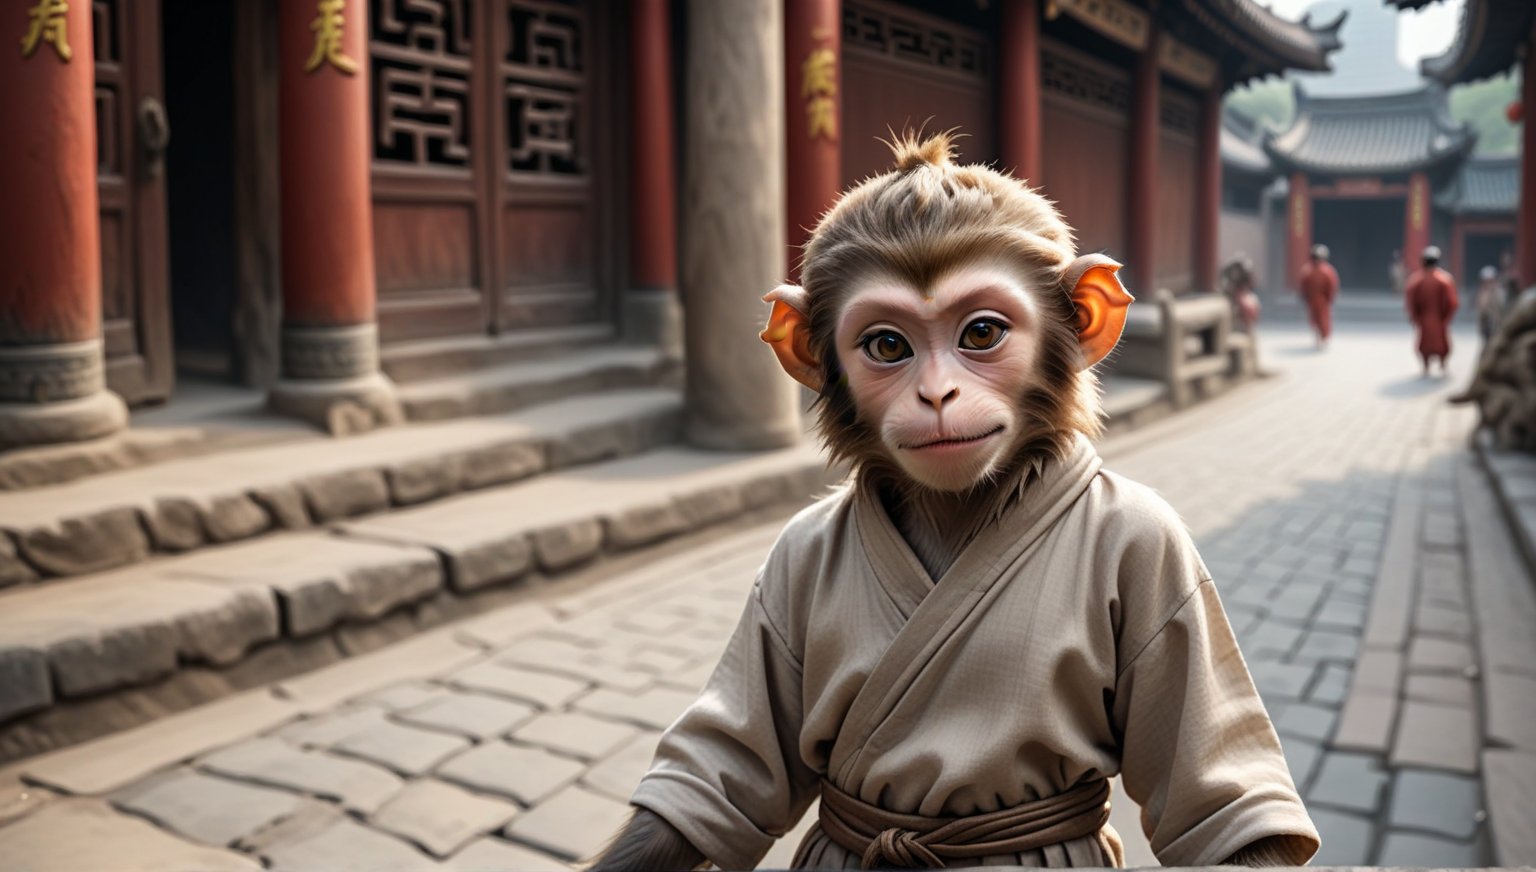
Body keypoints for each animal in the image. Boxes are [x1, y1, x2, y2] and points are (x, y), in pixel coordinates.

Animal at [586, 132, 1320, 865]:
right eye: (887, 345)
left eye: (981, 334)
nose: (936, 394)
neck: (959, 508)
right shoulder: (786, 562)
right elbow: (727, 774)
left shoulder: (1162, 558)